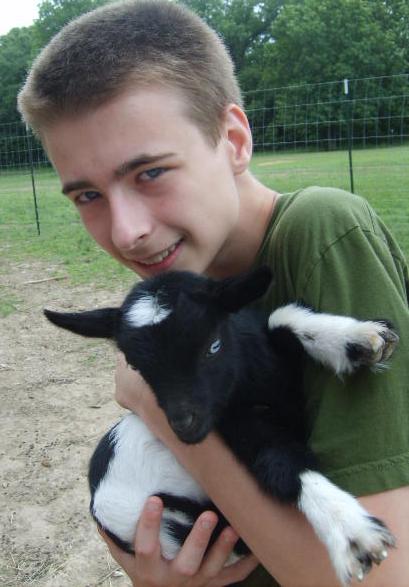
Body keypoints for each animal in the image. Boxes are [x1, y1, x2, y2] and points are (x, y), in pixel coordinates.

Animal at [43, 268, 396, 587]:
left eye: (213, 345)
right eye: (135, 365)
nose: (183, 426)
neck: (255, 387)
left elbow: (280, 317)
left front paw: (361, 338)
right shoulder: (234, 428)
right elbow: (277, 460)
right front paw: (350, 533)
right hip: (172, 524)